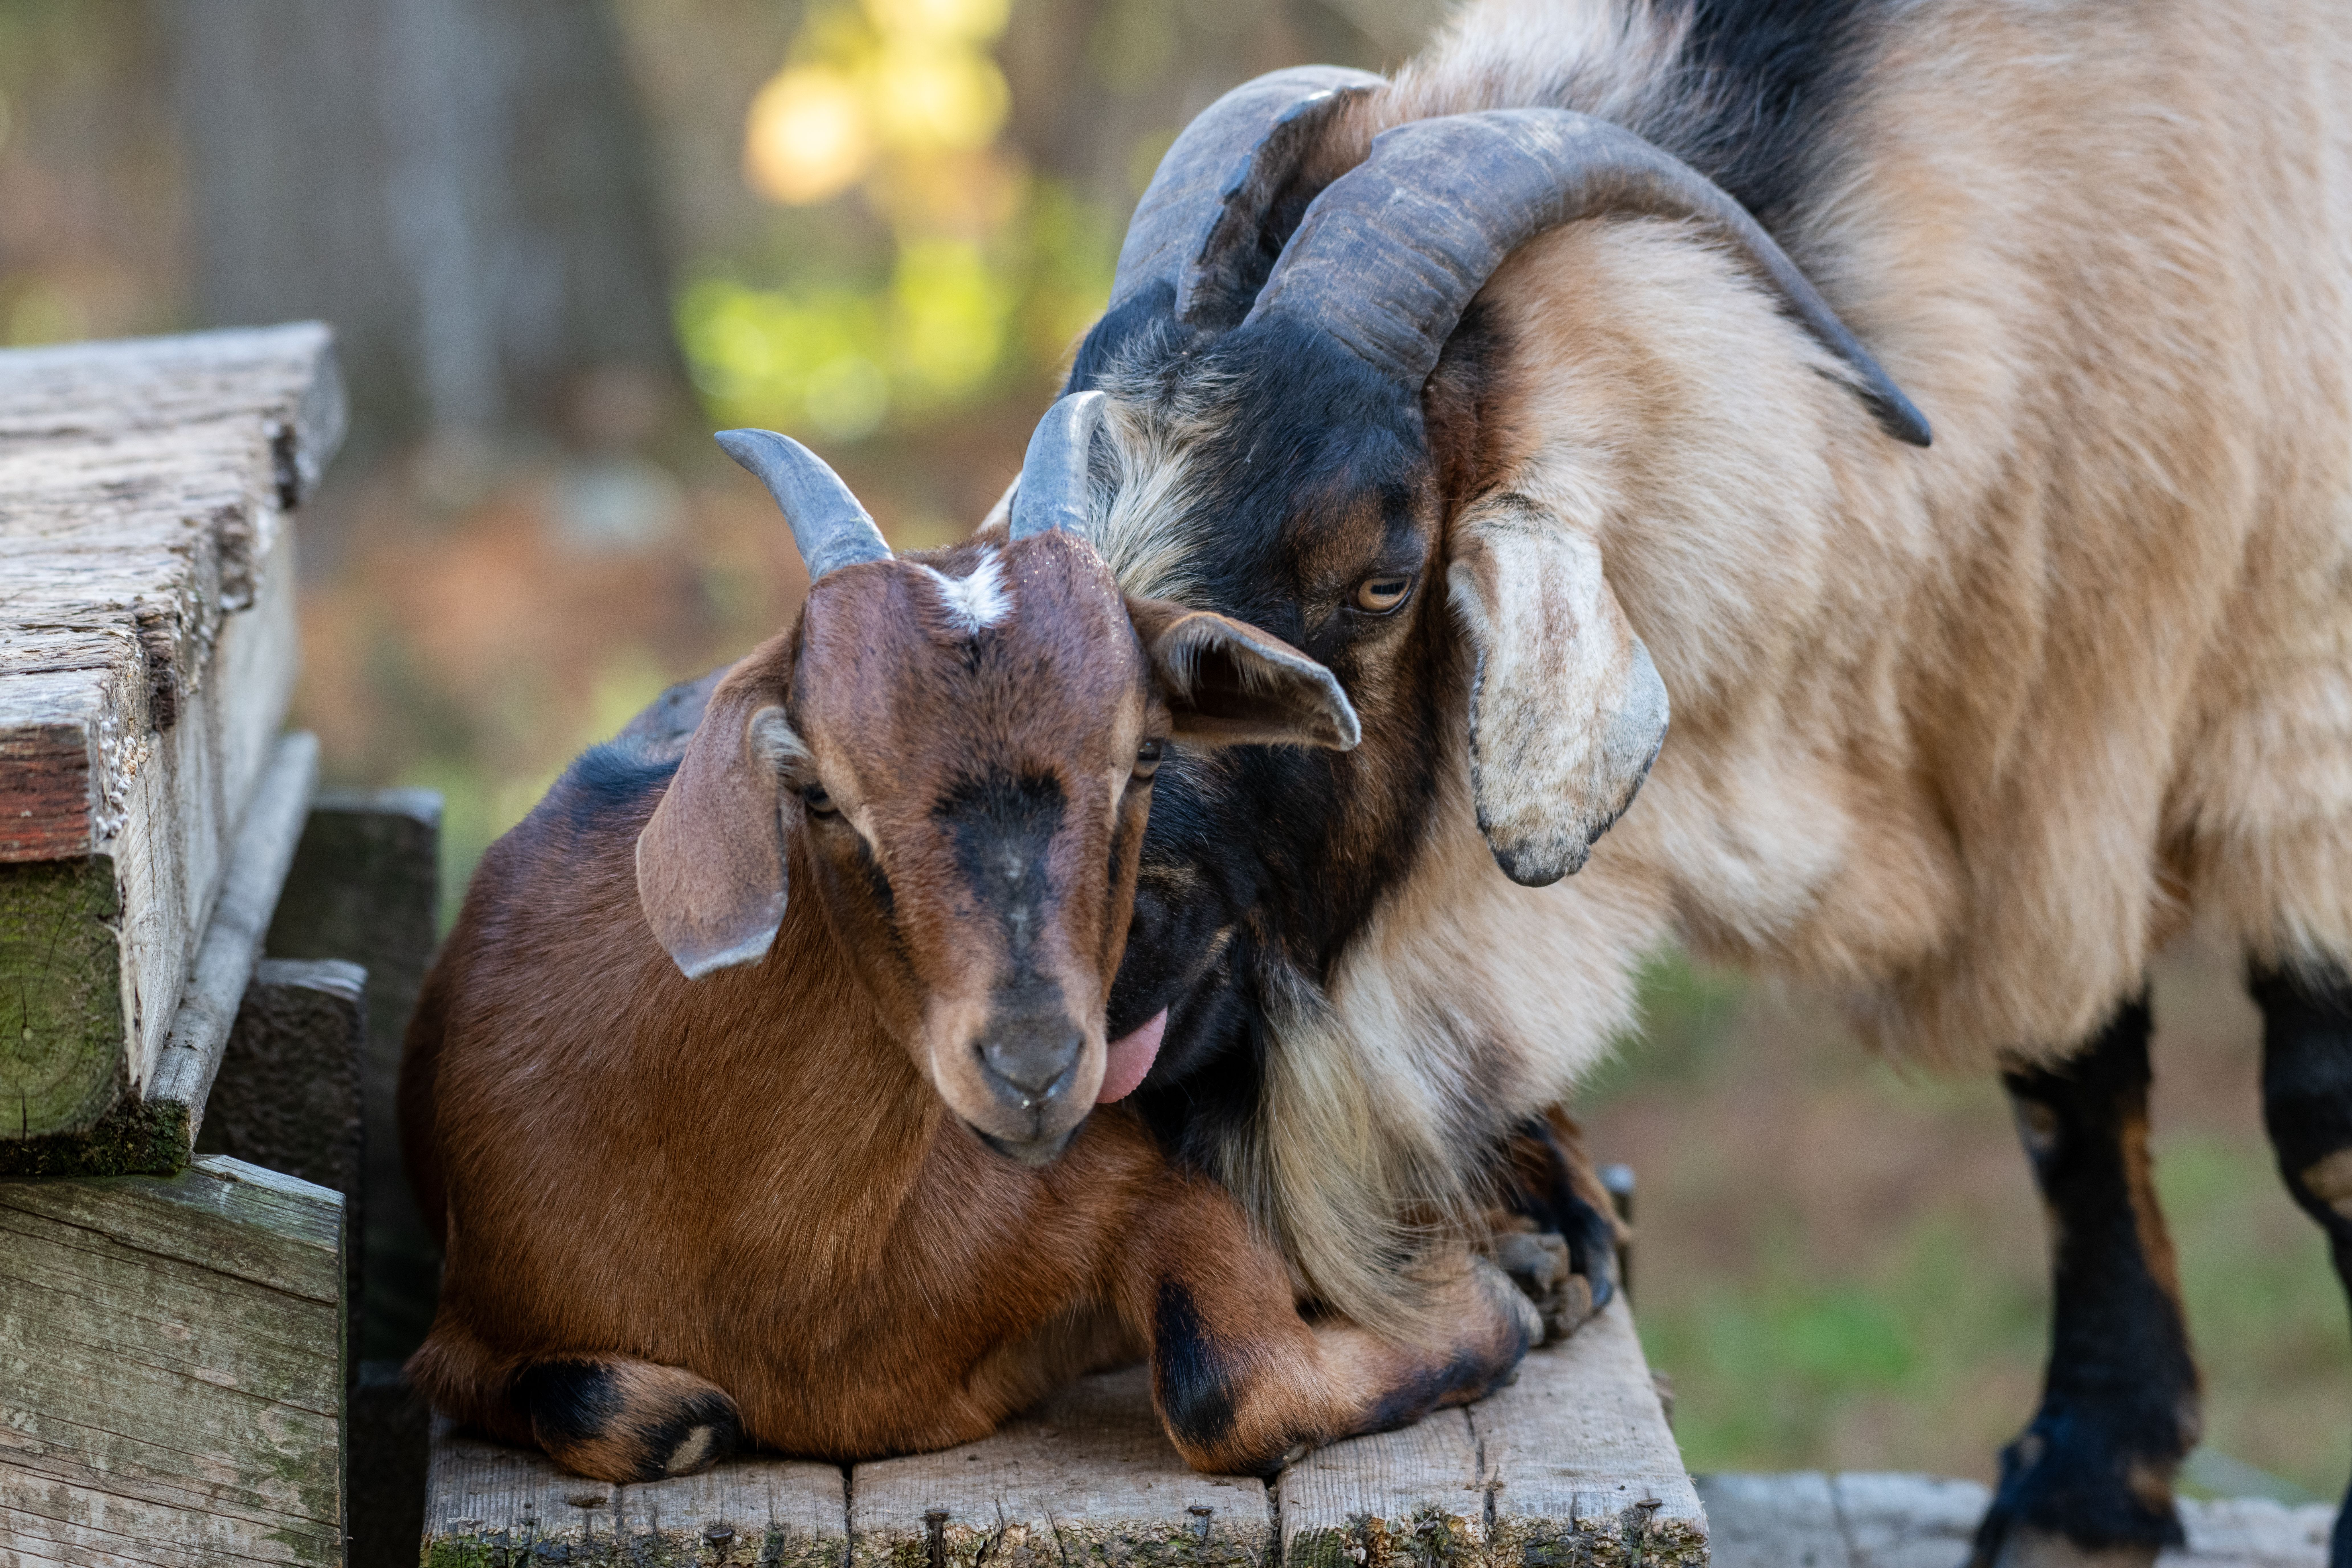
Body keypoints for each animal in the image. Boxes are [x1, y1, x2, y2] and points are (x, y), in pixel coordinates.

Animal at [396, 419, 1540, 1483]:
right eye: (819, 789)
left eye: (1145, 754)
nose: (1034, 1068)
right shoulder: (462, 1333)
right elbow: (639, 1412)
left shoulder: (1150, 1180)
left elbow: (1226, 1385)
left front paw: (1493, 1297)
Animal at [988, 3, 2352, 1564]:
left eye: (1383, 572)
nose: (1059, 970)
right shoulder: (2039, 762)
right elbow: (2072, 1090)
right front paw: (2086, 1486)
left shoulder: (2292, 712)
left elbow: (2318, 1118)